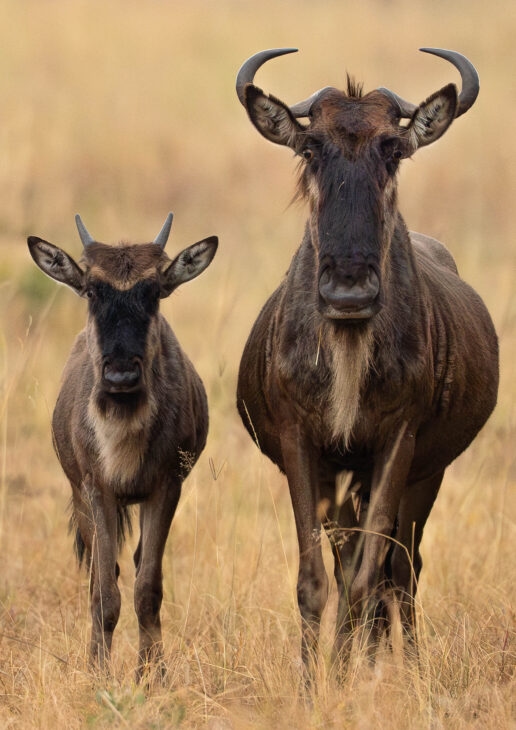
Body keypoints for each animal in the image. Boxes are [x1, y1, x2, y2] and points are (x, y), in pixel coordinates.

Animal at [27, 213, 218, 679]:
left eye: (154, 292)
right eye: (93, 290)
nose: (120, 376)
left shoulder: (166, 488)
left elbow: (147, 587)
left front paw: (152, 674)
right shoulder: (97, 489)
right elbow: (105, 592)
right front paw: (98, 671)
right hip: (80, 496)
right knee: (103, 575)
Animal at [235, 48, 499, 679]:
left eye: (393, 148)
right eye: (310, 148)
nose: (349, 291)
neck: (349, 350)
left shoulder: (397, 445)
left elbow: (369, 574)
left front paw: (353, 676)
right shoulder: (304, 445)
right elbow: (317, 578)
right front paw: (317, 682)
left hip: (427, 474)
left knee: (401, 570)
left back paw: (403, 664)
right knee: (361, 565)